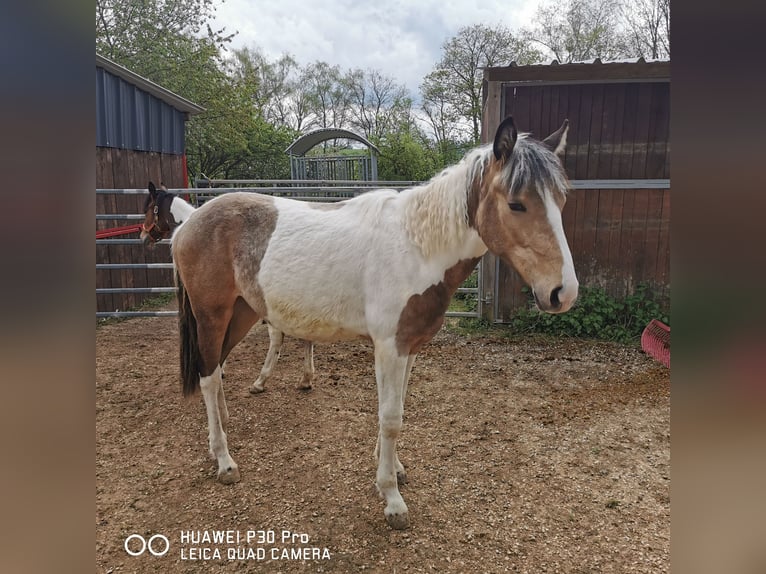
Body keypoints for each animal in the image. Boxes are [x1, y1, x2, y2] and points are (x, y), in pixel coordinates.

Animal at [140, 182, 315, 393]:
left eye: (149, 209)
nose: (143, 236)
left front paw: (223, 370)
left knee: (278, 339)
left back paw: (260, 382)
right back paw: (303, 379)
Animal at [172, 116, 578, 530]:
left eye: (561, 200)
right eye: (516, 204)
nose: (562, 292)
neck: (416, 250)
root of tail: (190, 222)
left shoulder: (409, 347)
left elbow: (398, 409)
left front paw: (394, 469)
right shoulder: (389, 347)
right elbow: (390, 417)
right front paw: (392, 498)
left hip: (241, 313)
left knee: (216, 368)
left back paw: (223, 426)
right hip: (212, 316)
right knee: (208, 377)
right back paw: (224, 460)